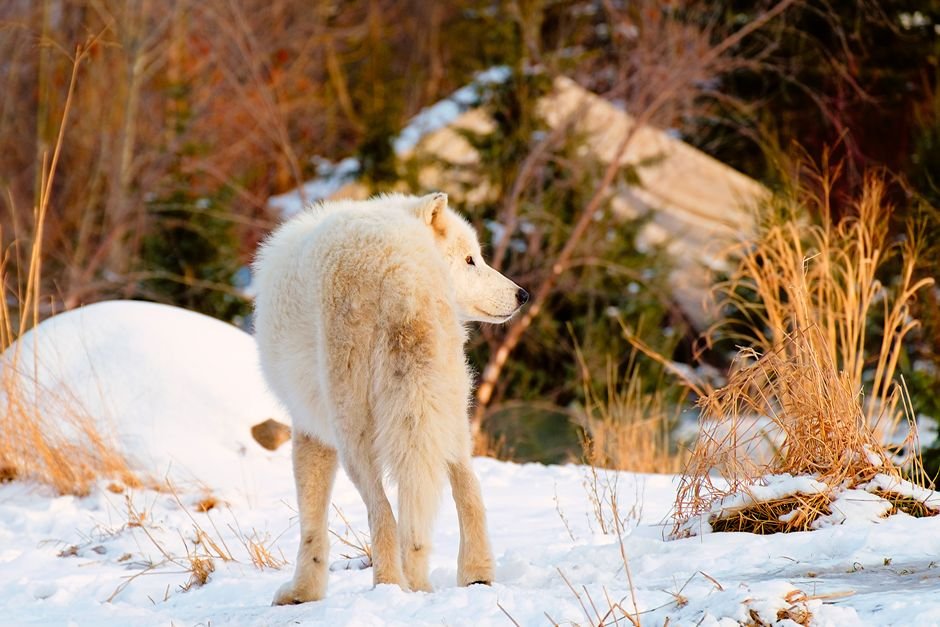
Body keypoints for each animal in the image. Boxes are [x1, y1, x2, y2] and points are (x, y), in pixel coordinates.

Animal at [252, 192, 527, 604]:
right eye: (471, 260)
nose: (522, 295)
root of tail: (403, 266)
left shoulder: (309, 429)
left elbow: (311, 522)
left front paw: (302, 593)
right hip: (446, 403)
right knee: (463, 486)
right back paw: (468, 577)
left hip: (354, 430)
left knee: (382, 514)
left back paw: (390, 586)